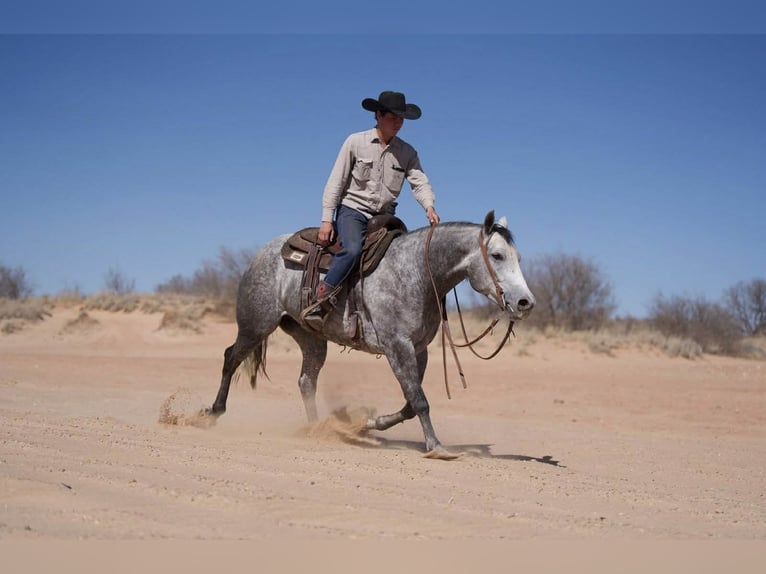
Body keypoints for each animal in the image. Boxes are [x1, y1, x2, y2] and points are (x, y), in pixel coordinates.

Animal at [204, 210, 535, 459]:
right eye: (497, 255)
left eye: (518, 257)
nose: (525, 302)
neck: (415, 272)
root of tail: (263, 253)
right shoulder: (397, 346)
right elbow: (419, 400)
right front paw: (436, 447)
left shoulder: (418, 349)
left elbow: (410, 403)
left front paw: (370, 424)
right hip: (256, 324)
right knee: (231, 358)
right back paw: (212, 413)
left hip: (311, 338)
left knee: (306, 380)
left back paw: (317, 429)